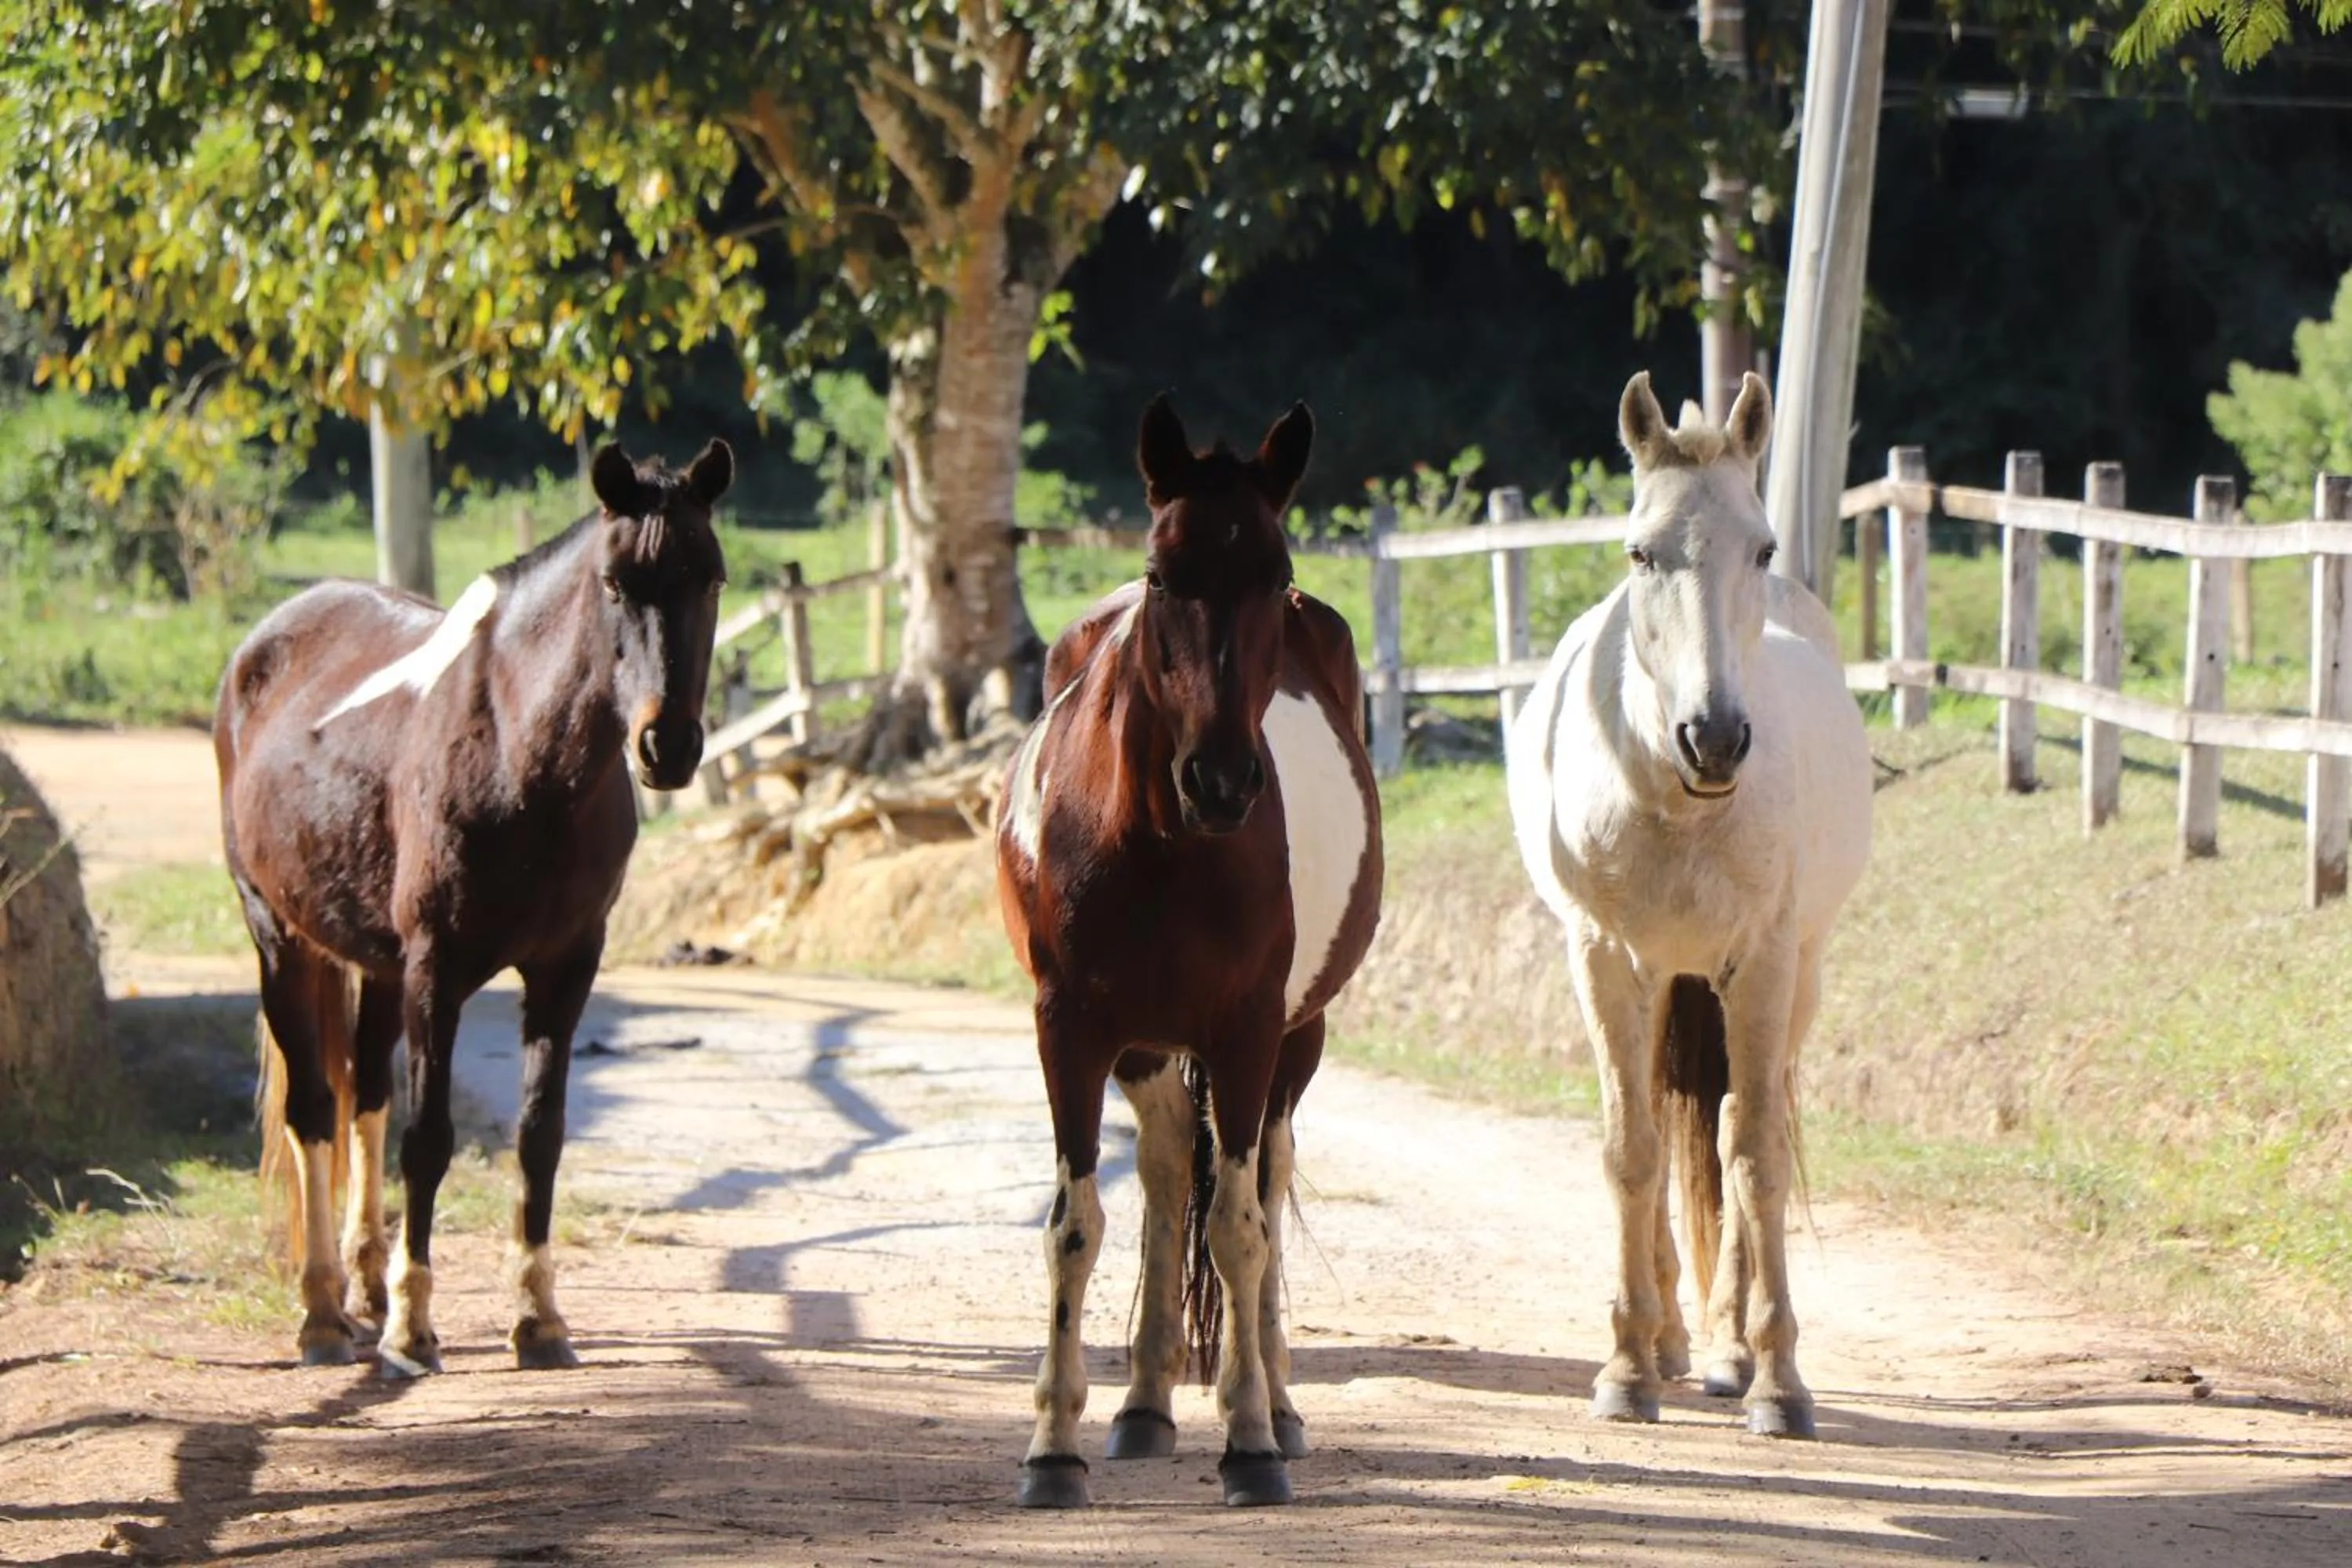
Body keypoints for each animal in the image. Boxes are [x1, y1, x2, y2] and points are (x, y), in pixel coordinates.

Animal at [218, 438, 732, 1377]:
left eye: (709, 578)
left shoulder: (565, 968)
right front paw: (413, 1329)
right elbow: (429, 1139)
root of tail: (259, 648)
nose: (667, 745)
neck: (517, 754)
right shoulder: (437, 971)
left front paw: (538, 1317)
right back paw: (323, 1313)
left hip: (374, 966)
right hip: (281, 938)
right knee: (313, 1111)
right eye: (614, 584)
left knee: (364, 1098)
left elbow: (539, 1135)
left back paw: (365, 1286)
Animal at [993, 396, 1384, 1509]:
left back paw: (1278, 1402)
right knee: (1170, 1169)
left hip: (1297, 1036)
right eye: (1165, 573)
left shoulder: (1247, 1031)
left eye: (1275, 572)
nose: (1221, 780)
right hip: (1144, 1046)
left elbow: (1242, 1226)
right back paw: (1144, 1403)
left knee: (1265, 1182)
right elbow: (1076, 1223)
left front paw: (1249, 1439)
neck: (1164, 840)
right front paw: (1053, 1445)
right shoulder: (1072, 1029)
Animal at [1505, 371, 1872, 1439]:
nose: (1714, 736)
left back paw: (1722, 1348)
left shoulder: (1763, 965)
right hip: (1663, 979)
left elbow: (1752, 1153)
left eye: (1763, 548)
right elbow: (1631, 1150)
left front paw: (1776, 1377)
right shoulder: (1607, 958)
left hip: (1789, 980)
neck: (1677, 800)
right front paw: (1626, 1365)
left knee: (1734, 1130)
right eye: (1641, 550)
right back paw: (1671, 1339)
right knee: (1665, 1133)